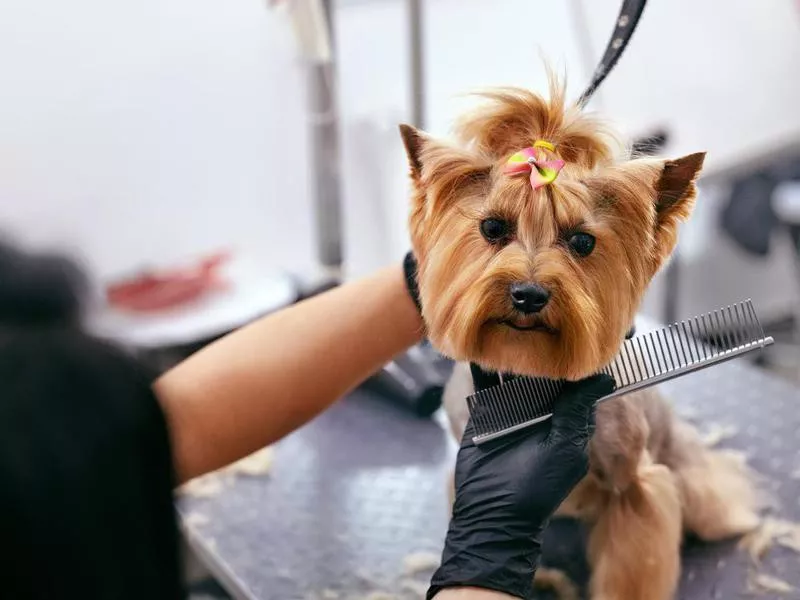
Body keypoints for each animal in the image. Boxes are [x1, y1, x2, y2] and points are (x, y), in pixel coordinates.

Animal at [400, 77, 764, 596]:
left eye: (582, 242)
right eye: (492, 227)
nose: (528, 294)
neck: (535, 375)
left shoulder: (633, 486)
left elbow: (633, 563)